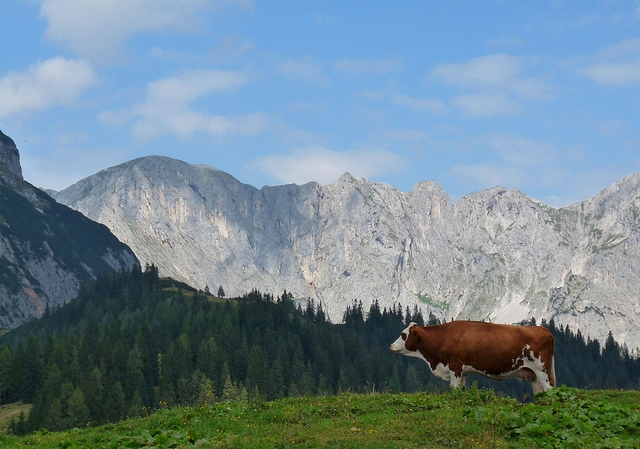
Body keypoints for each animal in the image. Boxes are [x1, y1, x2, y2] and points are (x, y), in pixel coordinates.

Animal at [388, 318, 556, 392]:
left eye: (403, 334)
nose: (391, 346)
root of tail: (541, 328)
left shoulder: (455, 366)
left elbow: (454, 388)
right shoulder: (462, 372)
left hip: (542, 370)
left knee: (549, 391)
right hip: (532, 374)